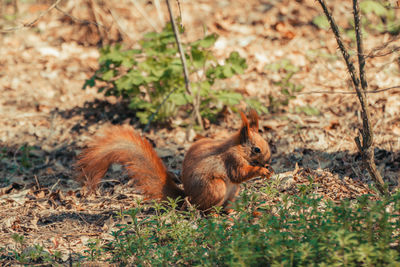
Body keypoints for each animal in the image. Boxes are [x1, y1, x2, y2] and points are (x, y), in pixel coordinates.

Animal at [76, 110, 272, 213]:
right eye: (256, 149)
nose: (268, 160)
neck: (238, 147)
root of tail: (187, 198)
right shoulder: (231, 159)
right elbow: (239, 174)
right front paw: (262, 171)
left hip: (232, 192)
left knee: (225, 206)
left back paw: (234, 212)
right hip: (215, 188)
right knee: (205, 210)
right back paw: (215, 215)